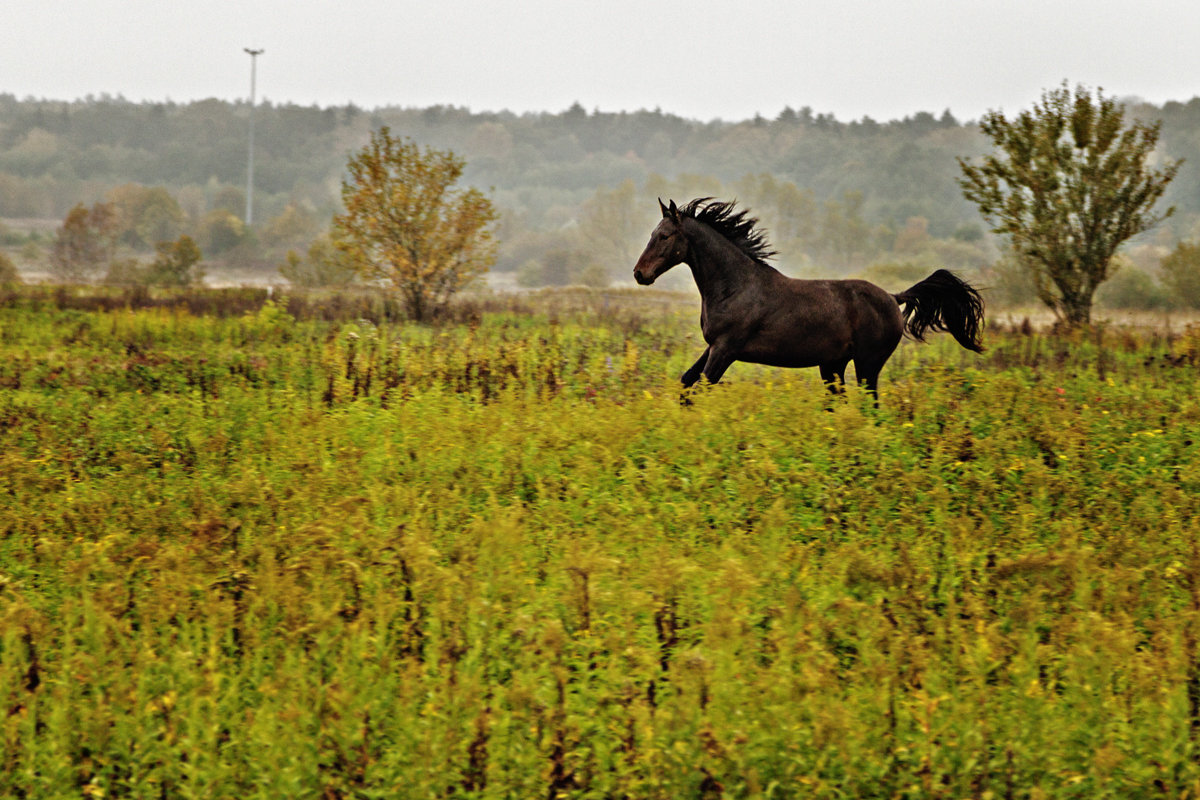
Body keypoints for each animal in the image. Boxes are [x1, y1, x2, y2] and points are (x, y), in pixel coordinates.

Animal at [633, 200, 979, 400]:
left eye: (665, 236)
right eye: (651, 233)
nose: (639, 274)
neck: (736, 287)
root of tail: (894, 298)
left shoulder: (726, 348)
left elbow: (700, 388)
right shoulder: (714, 345)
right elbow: (686, 381)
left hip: (868, 365)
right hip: (833, 366)